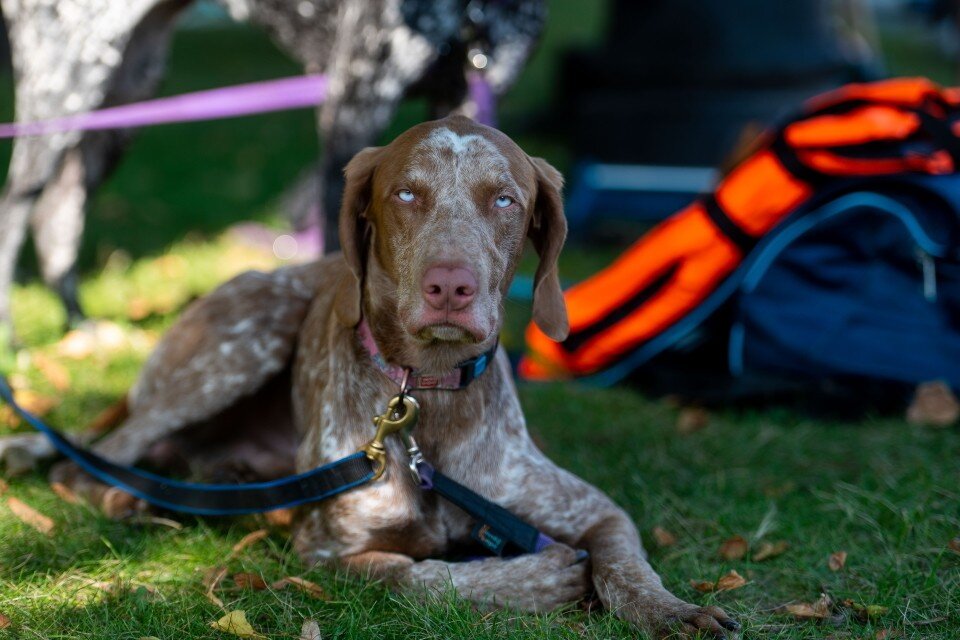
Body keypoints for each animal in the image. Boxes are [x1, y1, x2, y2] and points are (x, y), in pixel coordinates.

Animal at [0, 0, 544, 338]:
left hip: (126, 89)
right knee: (17, 208)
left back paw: (78, 325)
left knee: (57, 212)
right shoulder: (353, 107)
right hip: (61, 89)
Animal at [28, 117, 736, 636]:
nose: (450, 285)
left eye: (505, 199)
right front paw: (536, 580)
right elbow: (415, 575)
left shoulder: (595, 509)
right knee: (88, 462)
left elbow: (626, 565)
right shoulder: (327, 553)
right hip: (243, 341)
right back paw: (127, 497)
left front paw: (671, 610)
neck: (425, 399)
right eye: (406, 194)